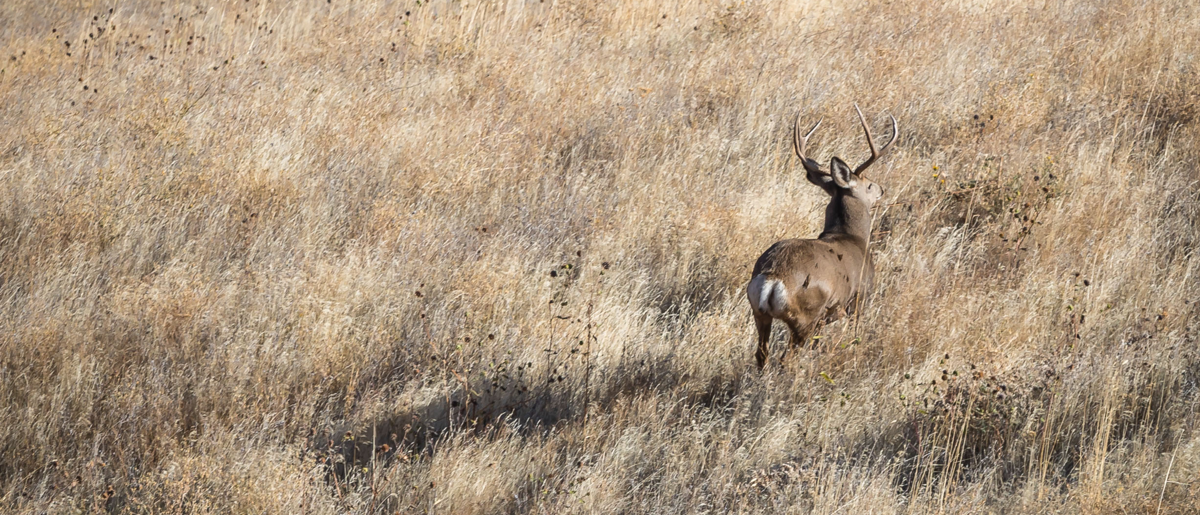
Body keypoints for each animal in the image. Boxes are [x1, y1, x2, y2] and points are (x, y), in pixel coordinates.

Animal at [746, 105, 897, 369]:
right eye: (868, 185)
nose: (881, 189)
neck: (851, 236)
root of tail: (772, 279)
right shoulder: (859, 299)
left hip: (759, 312)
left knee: (761, 354)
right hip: (806, 315)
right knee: (786, 359)